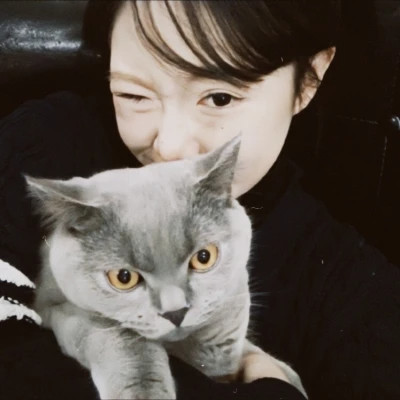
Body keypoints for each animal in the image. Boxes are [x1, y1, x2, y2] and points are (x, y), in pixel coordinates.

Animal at [26, 136, 306, 399]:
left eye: (204, 257)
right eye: (123, 277)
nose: (176, 312)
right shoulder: (54, 307)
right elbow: (124, 339)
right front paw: (145, 392)